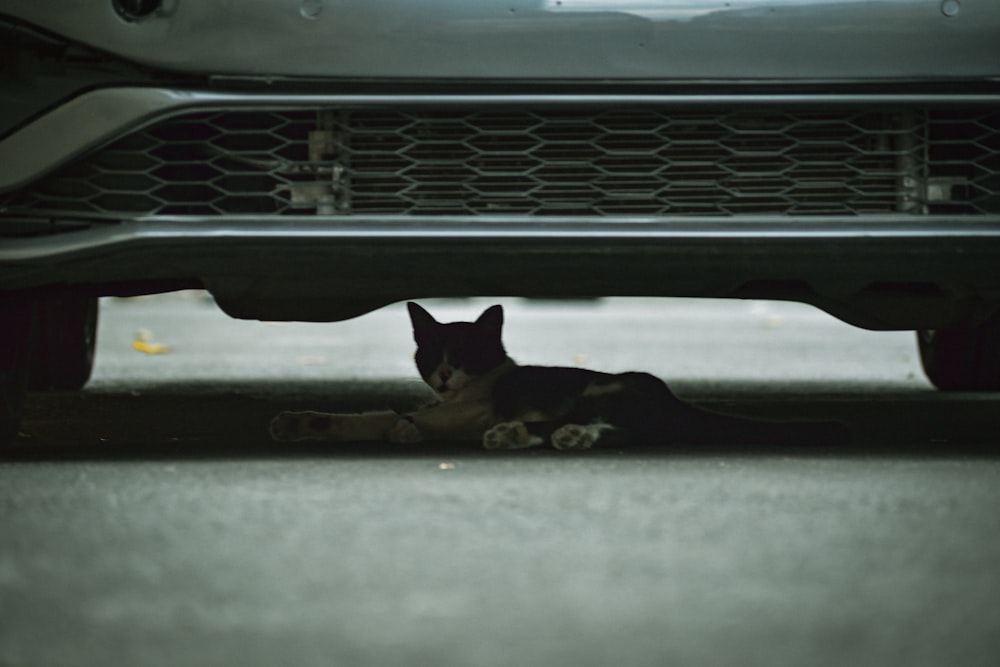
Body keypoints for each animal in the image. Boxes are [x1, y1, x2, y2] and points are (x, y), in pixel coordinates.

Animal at [270, 302, 848, 448]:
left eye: (465, 354)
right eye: (431, 354)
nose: (445, 375)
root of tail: (676, 400)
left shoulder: (455, 415)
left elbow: (391, 419)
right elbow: (372, 416)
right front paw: (299, 422)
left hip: (601, 387)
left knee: (630, 431)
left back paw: (540, 433)